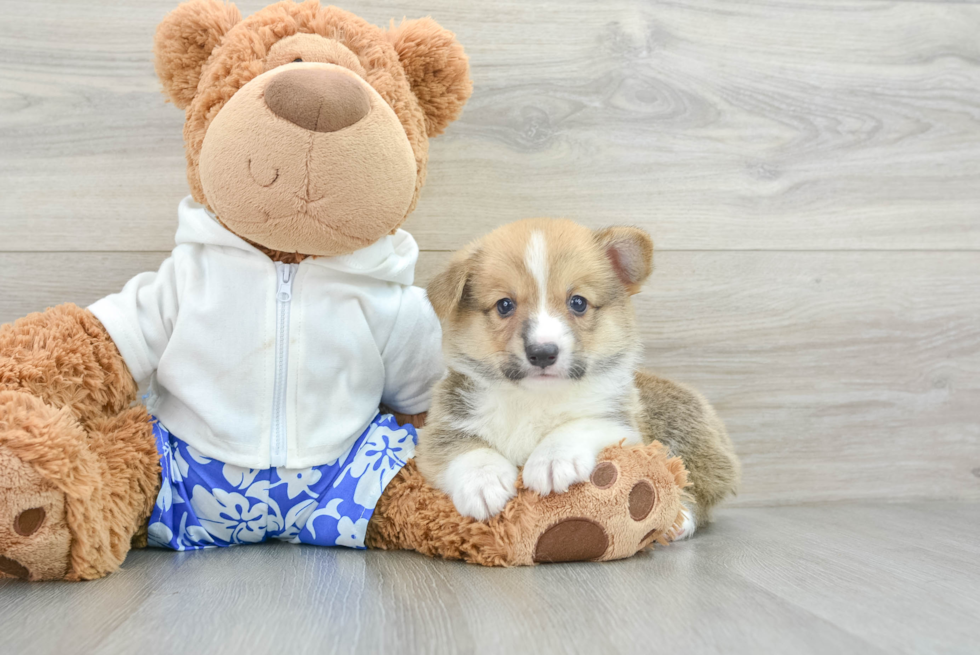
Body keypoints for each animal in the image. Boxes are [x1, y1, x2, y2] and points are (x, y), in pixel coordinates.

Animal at [416, 220, 744, 540]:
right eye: (504, 305)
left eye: (578, 302)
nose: (543, 353)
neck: (535, 398)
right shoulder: (440, 429)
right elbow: (465, 449)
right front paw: (483, 482)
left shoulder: (620, 424)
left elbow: (577, 425)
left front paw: (552, 460)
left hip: (687, 437)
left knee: (698, 491)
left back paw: (681, 518)